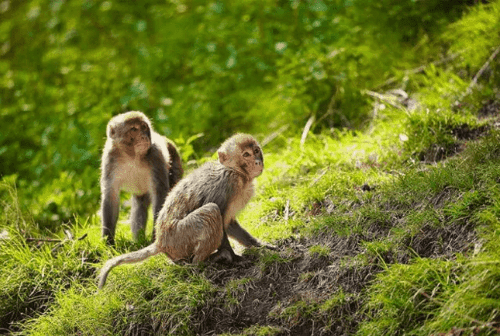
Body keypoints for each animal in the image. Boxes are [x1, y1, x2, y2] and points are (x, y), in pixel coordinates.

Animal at [96, 133, 270, 288]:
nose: (257, 162)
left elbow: (229, 223)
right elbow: (219, 214)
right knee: (211, 211)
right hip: (179, 237)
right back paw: (204, 262)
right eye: (246, 154)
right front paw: (234, 258)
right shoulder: (227, 183)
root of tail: (160, 242)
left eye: (256, 151)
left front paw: (258, 245)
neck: (237, 172)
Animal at [98, 111, 183, 245]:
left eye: (144, 127)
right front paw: (108, 241)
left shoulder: (156, 155)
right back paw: (138, 240)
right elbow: (110, 195)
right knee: (140, 205)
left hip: (175, 166)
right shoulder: (110, 159)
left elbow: (160, 194)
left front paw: (155, 237)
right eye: (133, 129)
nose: (144, 137)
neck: (132, 156)